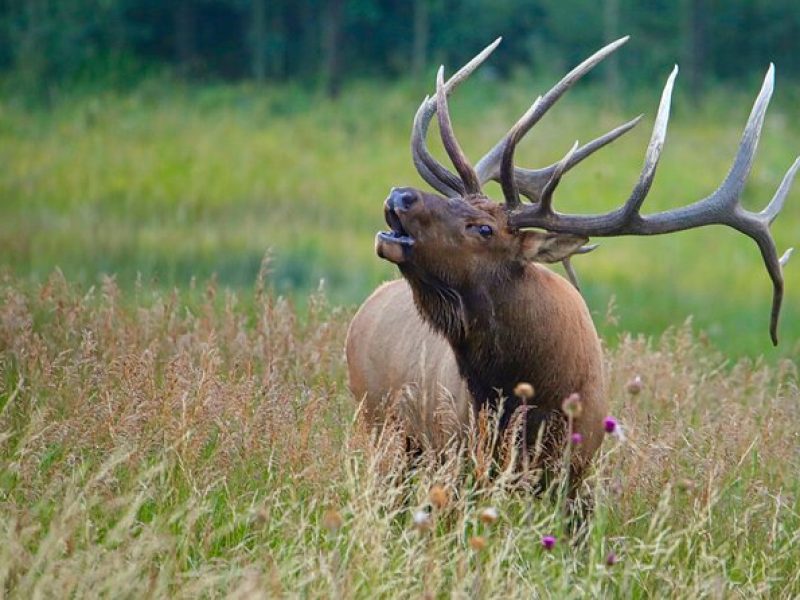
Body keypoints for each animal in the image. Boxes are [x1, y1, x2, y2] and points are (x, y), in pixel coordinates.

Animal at [346, 35, 800, 488]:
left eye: (485, 229)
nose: (401, 195)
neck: (532, 396)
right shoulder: (458, 456)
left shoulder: (577, 472)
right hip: (381, 428)